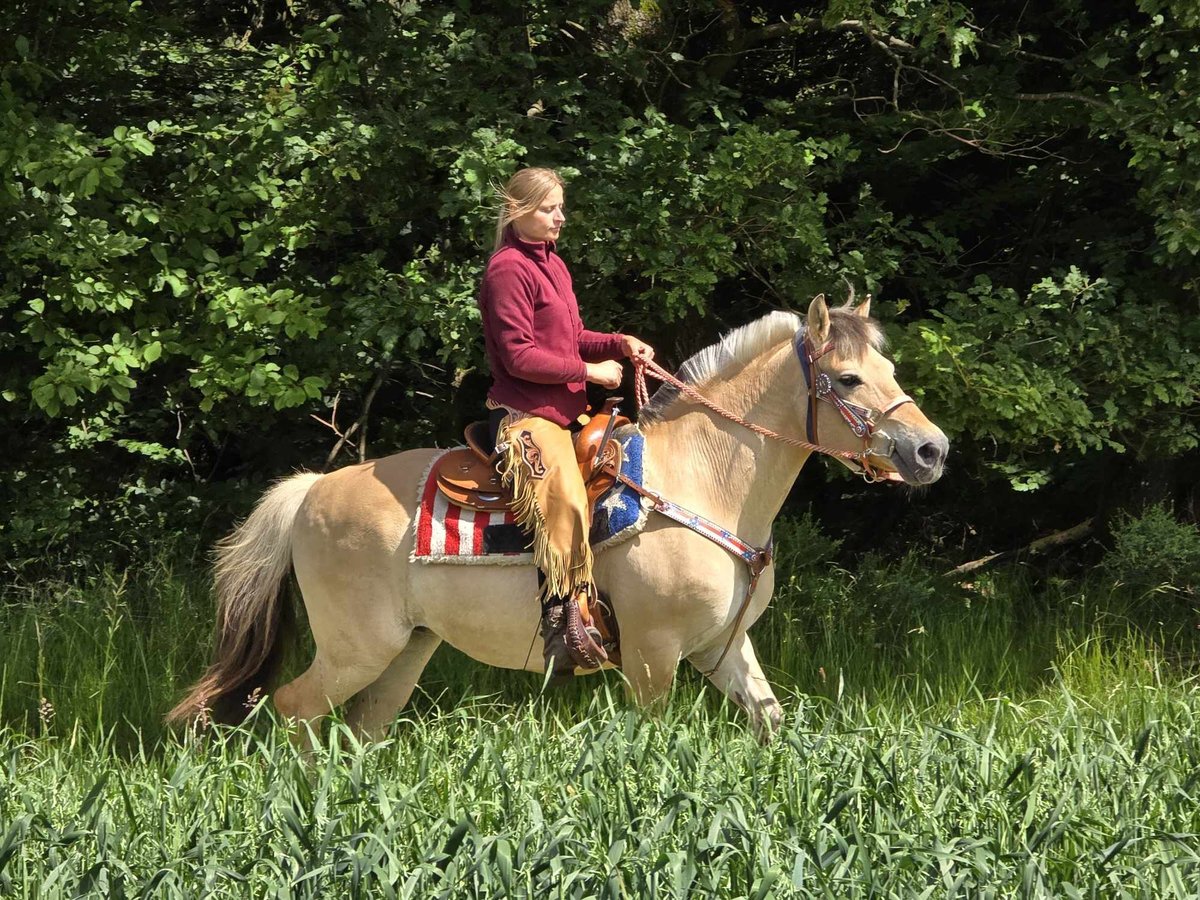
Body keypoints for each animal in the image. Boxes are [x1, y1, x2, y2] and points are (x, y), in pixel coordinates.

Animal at [169, 296, 950, 739]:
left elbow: (773, 725)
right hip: (355, 647)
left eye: (889, 368)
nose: (930, 449)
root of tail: (311, 490)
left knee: (358, 728)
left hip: (404, 650)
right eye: (847, 378)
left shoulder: (722, 649)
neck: (703, 481)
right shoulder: (653, 655)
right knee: (293, 711)